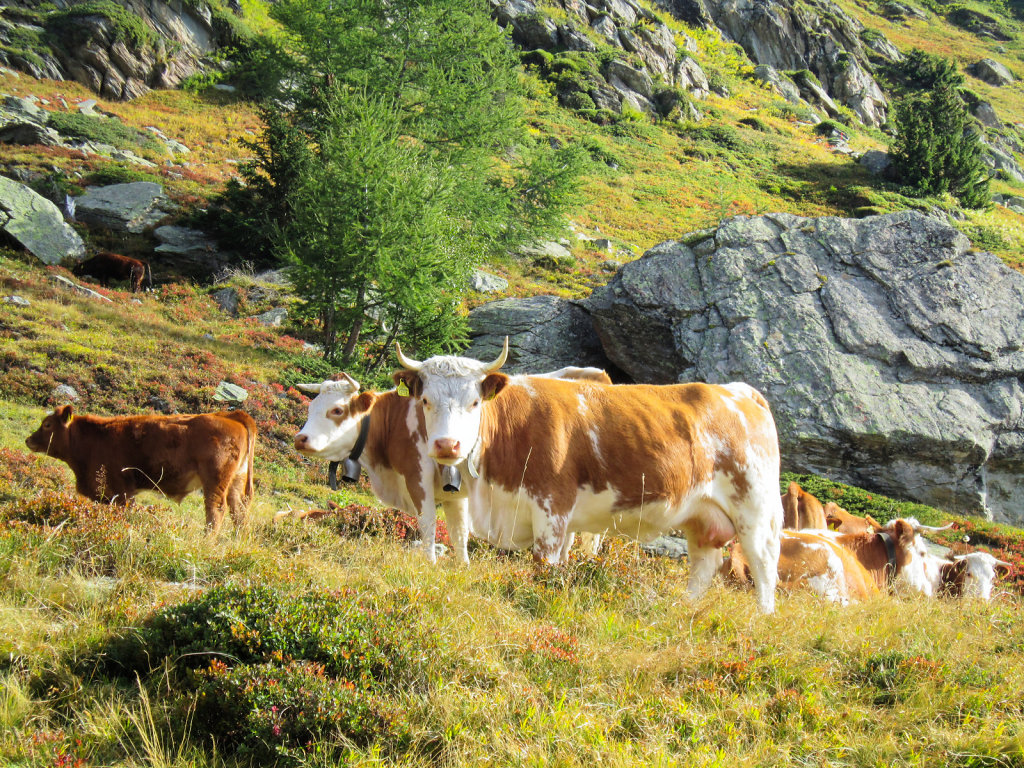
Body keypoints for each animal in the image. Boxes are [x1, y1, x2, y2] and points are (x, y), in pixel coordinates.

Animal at [25, 405, 253, 532]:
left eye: (47, 425)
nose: (28, 440)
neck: (95, 438)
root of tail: (231, 416)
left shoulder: (120, 491)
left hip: (215, 481)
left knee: (216, 510)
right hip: (236, 481)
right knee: (239, 512)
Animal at [290, 366, 606, 565]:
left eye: (337, 410)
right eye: (311, 407)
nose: (300, 439)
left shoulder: (417, 476)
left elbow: (428, 522)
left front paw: (429, 562)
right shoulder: (454, 490)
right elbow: (459, 530)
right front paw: (462, 566)